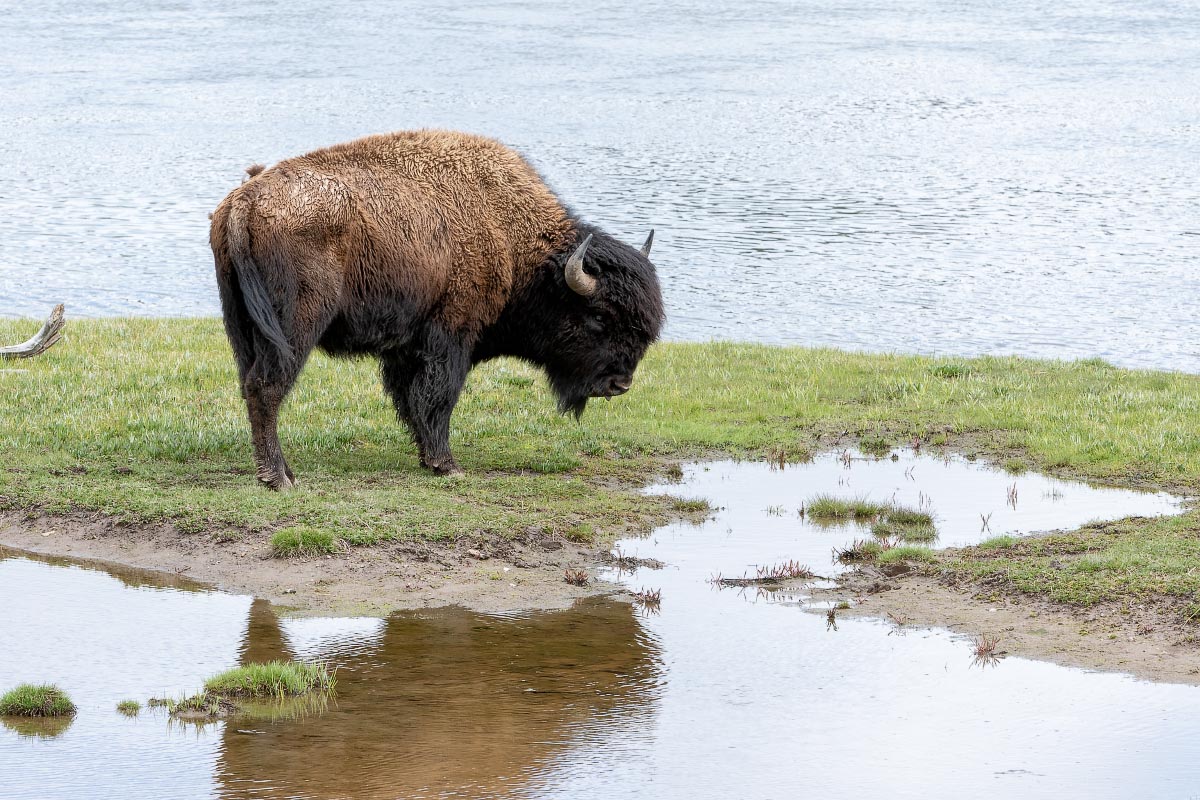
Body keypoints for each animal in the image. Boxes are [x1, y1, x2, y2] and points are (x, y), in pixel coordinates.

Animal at [211, 128, 662, 491]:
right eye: (599, 317)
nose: (619, 384)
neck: (514, 240)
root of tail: (246, 200)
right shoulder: (450, 335)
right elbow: (438, 397)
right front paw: (447, 465)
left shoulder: (405, 347)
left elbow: (410, 400)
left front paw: (428, 458)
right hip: (294, 328)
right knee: (266, 387)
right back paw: (279, 478)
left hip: (241, 326)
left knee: (249, 385)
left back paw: (276, 472)